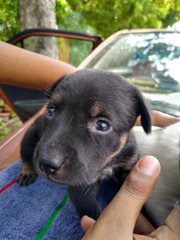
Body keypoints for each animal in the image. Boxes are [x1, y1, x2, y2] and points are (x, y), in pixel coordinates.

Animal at [17, 69, 150, 219]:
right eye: (51, 110)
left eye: (102, 125)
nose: (46, 164)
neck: (107, 164)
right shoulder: (81, 188)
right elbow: (93, 214)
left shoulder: (128, 165)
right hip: (28, 139)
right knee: (26, 158)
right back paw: (26, 172)